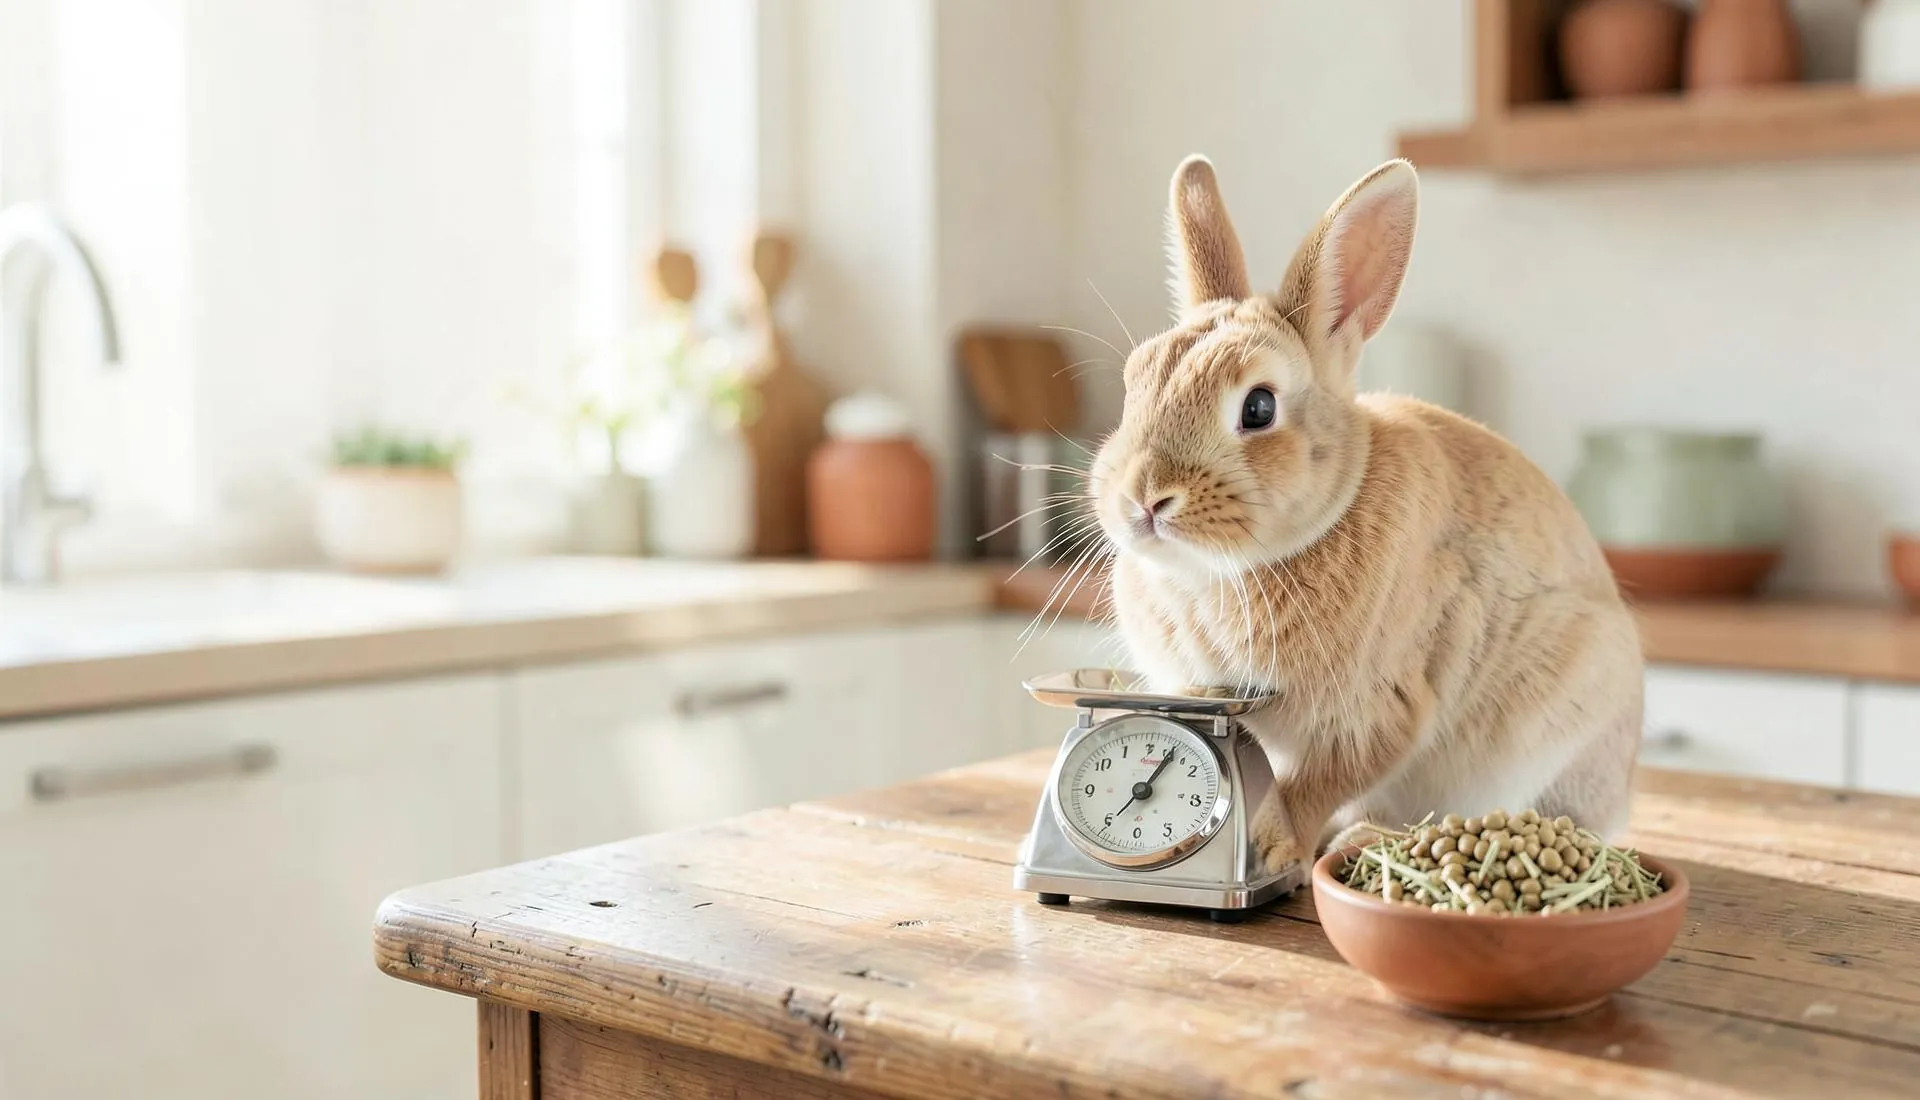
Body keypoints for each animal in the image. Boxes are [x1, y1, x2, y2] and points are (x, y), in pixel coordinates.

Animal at [1089, 155, 1643, 872]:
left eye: (1259, 408)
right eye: (1134, 382)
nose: (1144, 497)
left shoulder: (1383, 708)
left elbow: (1315, 781)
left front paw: (1272, 850)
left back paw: (1366, 841)